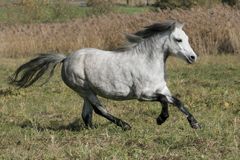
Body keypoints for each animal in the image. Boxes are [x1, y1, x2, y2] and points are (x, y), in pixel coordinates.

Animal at [9, 21, 201, 130]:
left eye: (187, 38)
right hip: (84, 89)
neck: (148, 62)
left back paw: (91, 130)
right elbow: (164, 100)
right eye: (178, 39)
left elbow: (176, 101)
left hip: (86, 92)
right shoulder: (142, 95)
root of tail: (65, 59)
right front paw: (161, 119)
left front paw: (195, 124)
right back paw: (125, 126)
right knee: (99, 109)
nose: (193, 57)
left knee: (87, 114)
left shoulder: (162, 88)